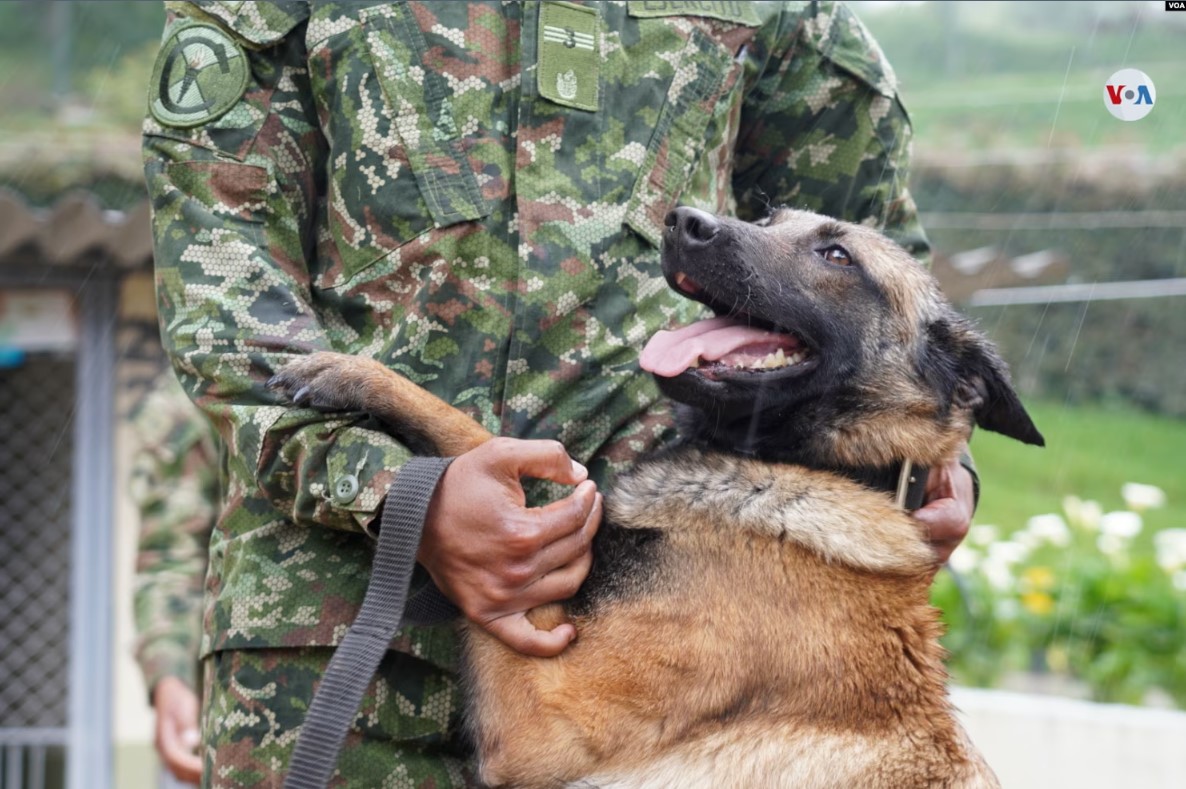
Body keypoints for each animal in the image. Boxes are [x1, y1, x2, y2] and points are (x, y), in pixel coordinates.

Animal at [269, 207, 1038, 787]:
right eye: (766, 217)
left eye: (837, 254)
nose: (685, 220)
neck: (813, 471)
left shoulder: (545, 720)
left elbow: (475, 433)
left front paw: (354, 373)